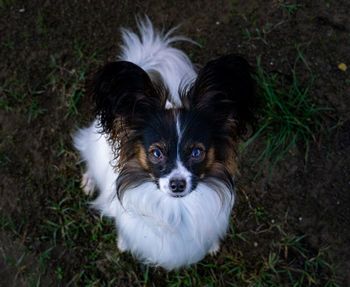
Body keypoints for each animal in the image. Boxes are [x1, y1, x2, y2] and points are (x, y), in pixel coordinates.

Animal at [73, 17, 254, 270]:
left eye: (196, 152)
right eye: (156, 153)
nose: (177, 184)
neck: (176, 209)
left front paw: (211, 246)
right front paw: (124, 243)